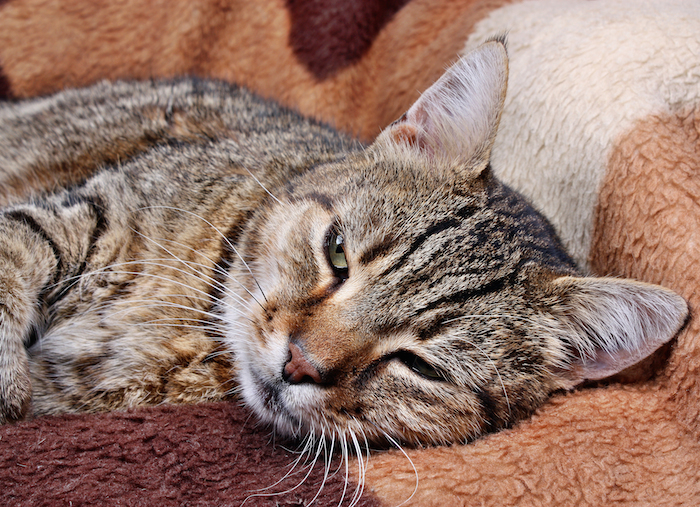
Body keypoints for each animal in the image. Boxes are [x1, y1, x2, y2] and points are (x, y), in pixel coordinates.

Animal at [0, 41, 688, 450]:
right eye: (336, 253)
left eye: (418, 365)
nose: (298, 362)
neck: (196, 329)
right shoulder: (92, 209)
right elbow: (17, 248)